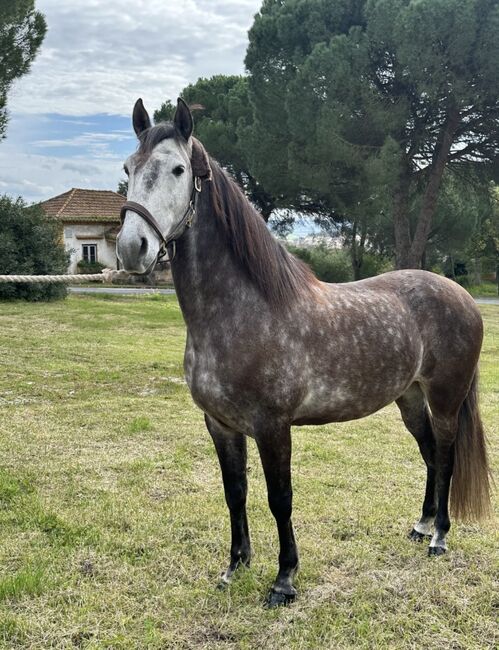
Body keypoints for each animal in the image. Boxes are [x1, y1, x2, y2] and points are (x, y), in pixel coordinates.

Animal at [116, 98, 491, 607]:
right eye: (128, 168)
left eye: (178, 169)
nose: (132, 248)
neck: (244, 309)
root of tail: (463, 296)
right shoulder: (220, 425)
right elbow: (235, 493)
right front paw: (235, 567)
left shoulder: (273, 427)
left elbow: (280, 498)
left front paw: (284, 580)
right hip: (410, 398)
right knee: (430, 453)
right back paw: (420, 526)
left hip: (447, 399)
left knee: (447, 455)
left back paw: (439, 538)